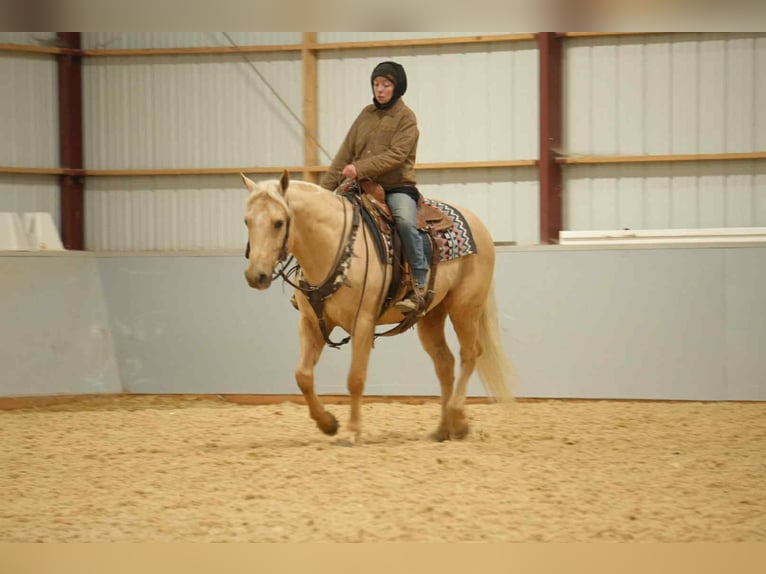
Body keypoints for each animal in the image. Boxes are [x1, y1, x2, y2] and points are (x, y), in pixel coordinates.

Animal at [241, 170, 514, 444]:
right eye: (247, 221)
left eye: (278, 222)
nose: (256, 276)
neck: (334, 246)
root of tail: (477, 223)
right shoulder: (312, 323)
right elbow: (303, 376)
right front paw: (328, 423)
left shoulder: (362, 322)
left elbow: (355, 378)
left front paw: (352, 431)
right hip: (431, 315)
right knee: (445, 363)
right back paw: (443, 429)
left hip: (465, 307)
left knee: (470, 354)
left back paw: (458, 419)